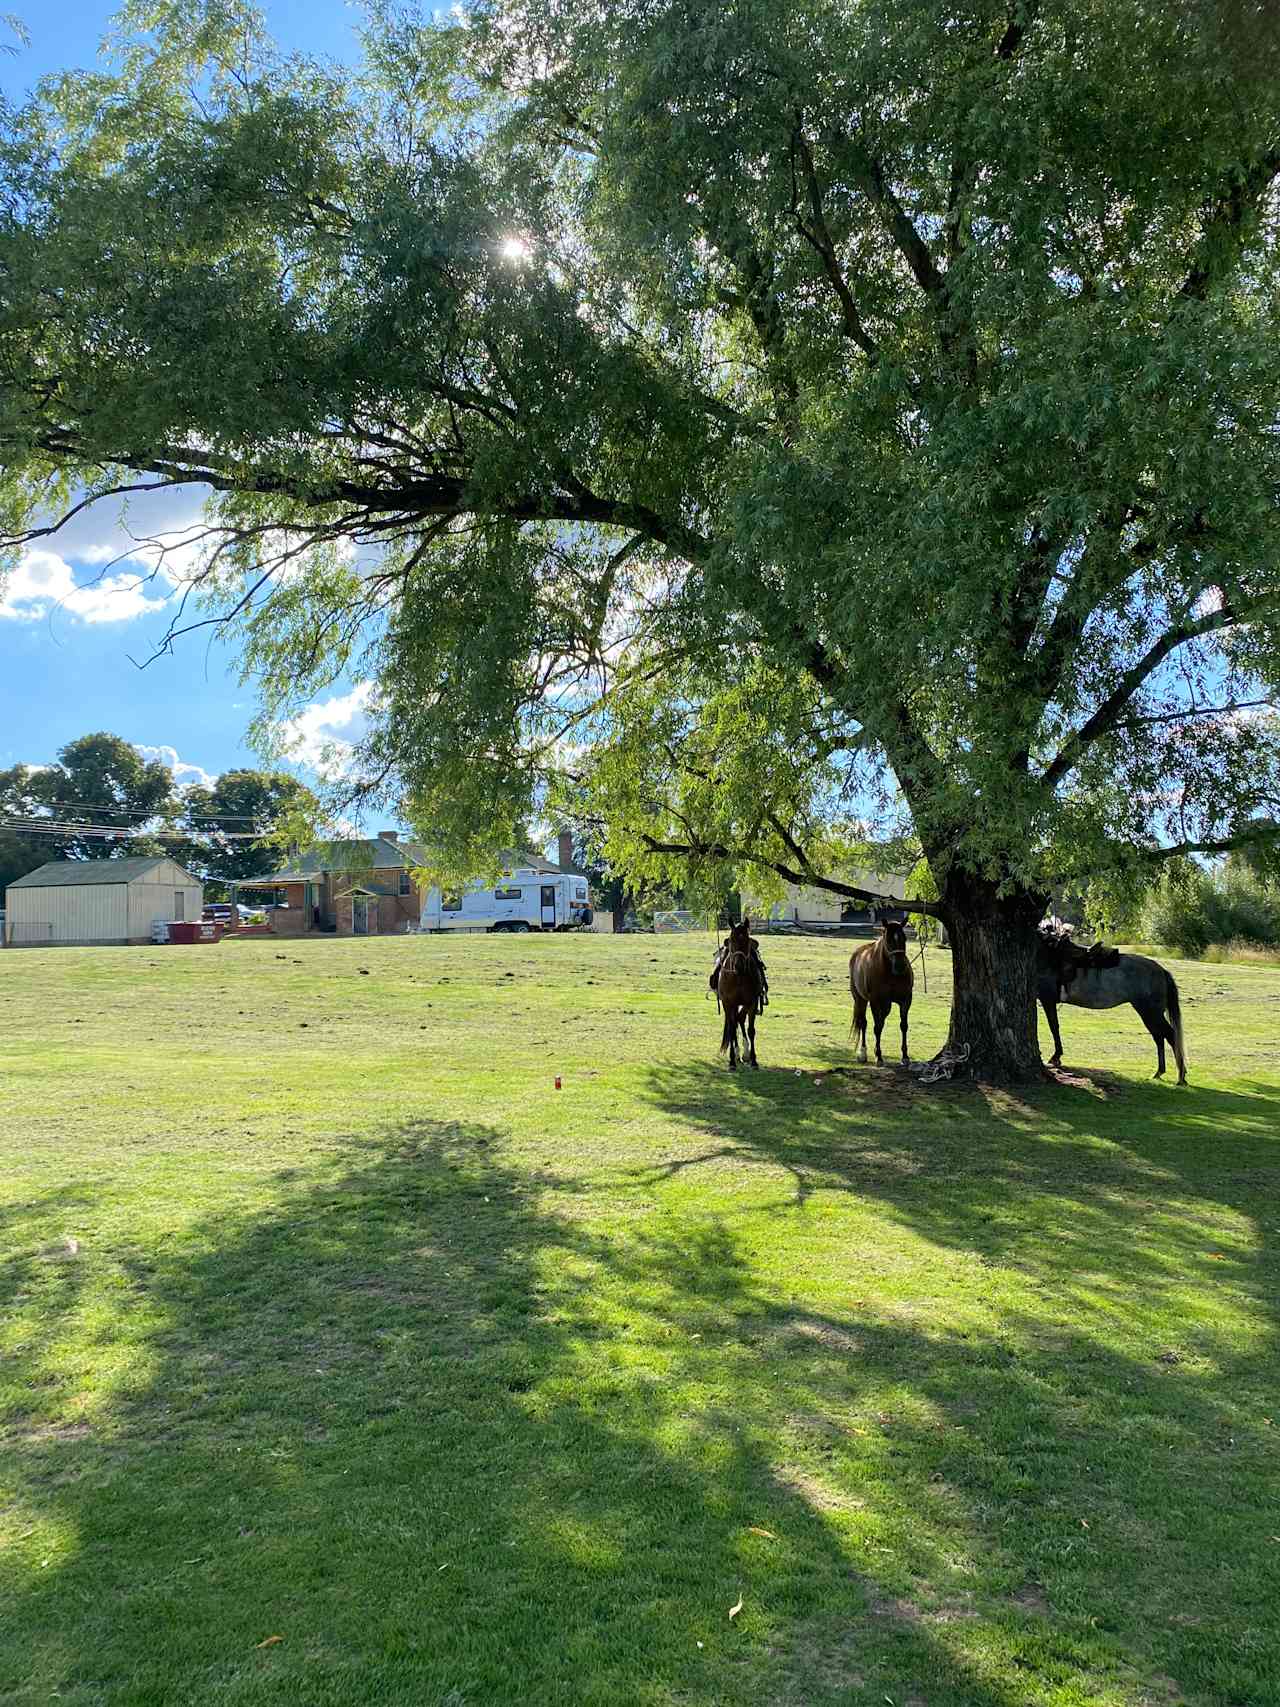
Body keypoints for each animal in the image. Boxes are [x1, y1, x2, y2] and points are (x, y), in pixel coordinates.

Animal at [723, 921, 761, 1065]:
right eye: (731, 940)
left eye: (746, 940)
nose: (738, 966)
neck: (738, 977)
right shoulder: (729, 1004)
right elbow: (732, 1029)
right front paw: (732, 1062)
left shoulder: (752, 1003)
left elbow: (751, 1030)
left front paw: (754, 1060)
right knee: (733, 1024)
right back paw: (738, 1054)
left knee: (739, 1018)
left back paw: (744, 1054)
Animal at [853, 921, 914, 1065]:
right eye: (888, 940)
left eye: (904, 938)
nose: (900, 967)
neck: (889, 973)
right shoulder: (875, 1002)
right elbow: (877, 1027)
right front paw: (879, 1056)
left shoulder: (906, 1000)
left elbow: (903, 1026)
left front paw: (905, 1056)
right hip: (860, 999)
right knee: (863, 1023)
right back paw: (863, 1053)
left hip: (886, 1005)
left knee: (881, 1020)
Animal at [1037, 949, 1187, 1078]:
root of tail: (1161, 970)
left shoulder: (1047, 999)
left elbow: (1053, 1027)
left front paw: (1056, 1057)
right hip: (1149, 1014)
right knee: (1159, 1037)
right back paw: (1160, 1072)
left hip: (1151, 1013)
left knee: (1169, 1035)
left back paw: (1181, 1076)